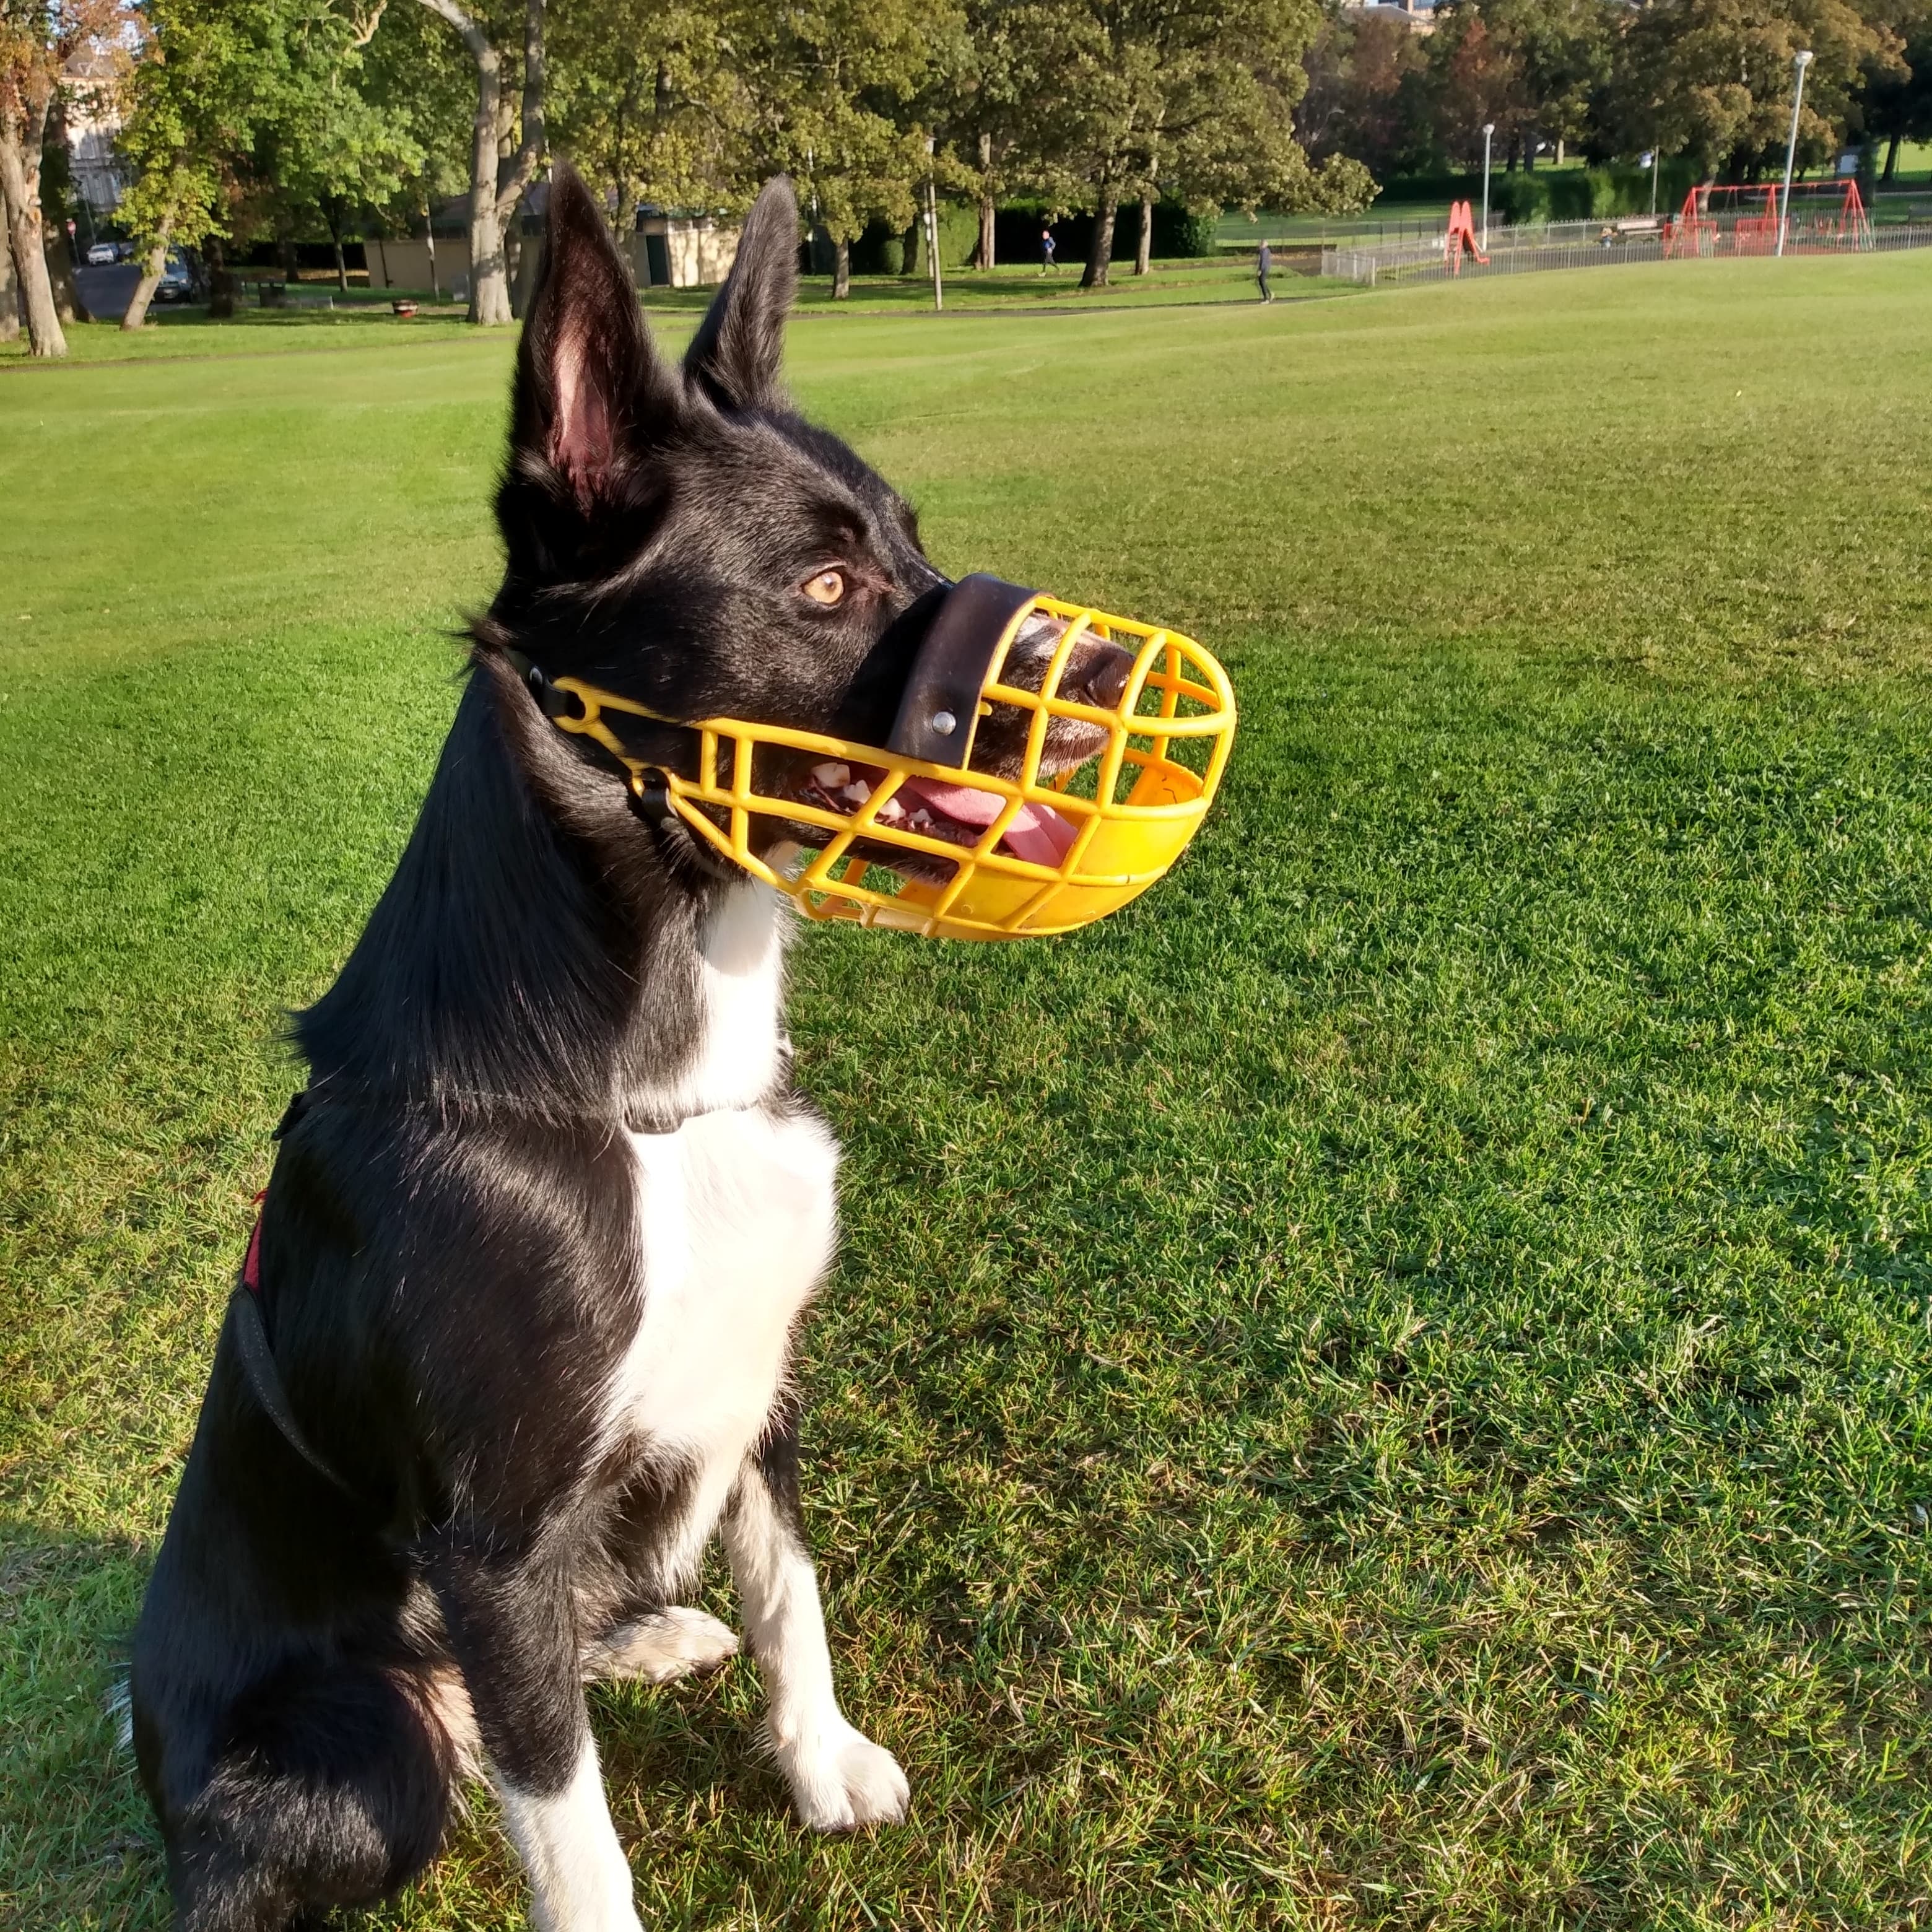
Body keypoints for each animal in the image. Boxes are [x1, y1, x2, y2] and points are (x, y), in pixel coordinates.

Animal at [128, 170, 1128, 1932]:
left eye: (915, 544)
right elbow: (573, 1827)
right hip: (363, 1751)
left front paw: (820, 1762)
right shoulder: (490, 1544)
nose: (1084, 696)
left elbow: (793, 1589)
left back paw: (648, 1631)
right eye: (822, 588)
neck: (642, 1089)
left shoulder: (767, 1383)